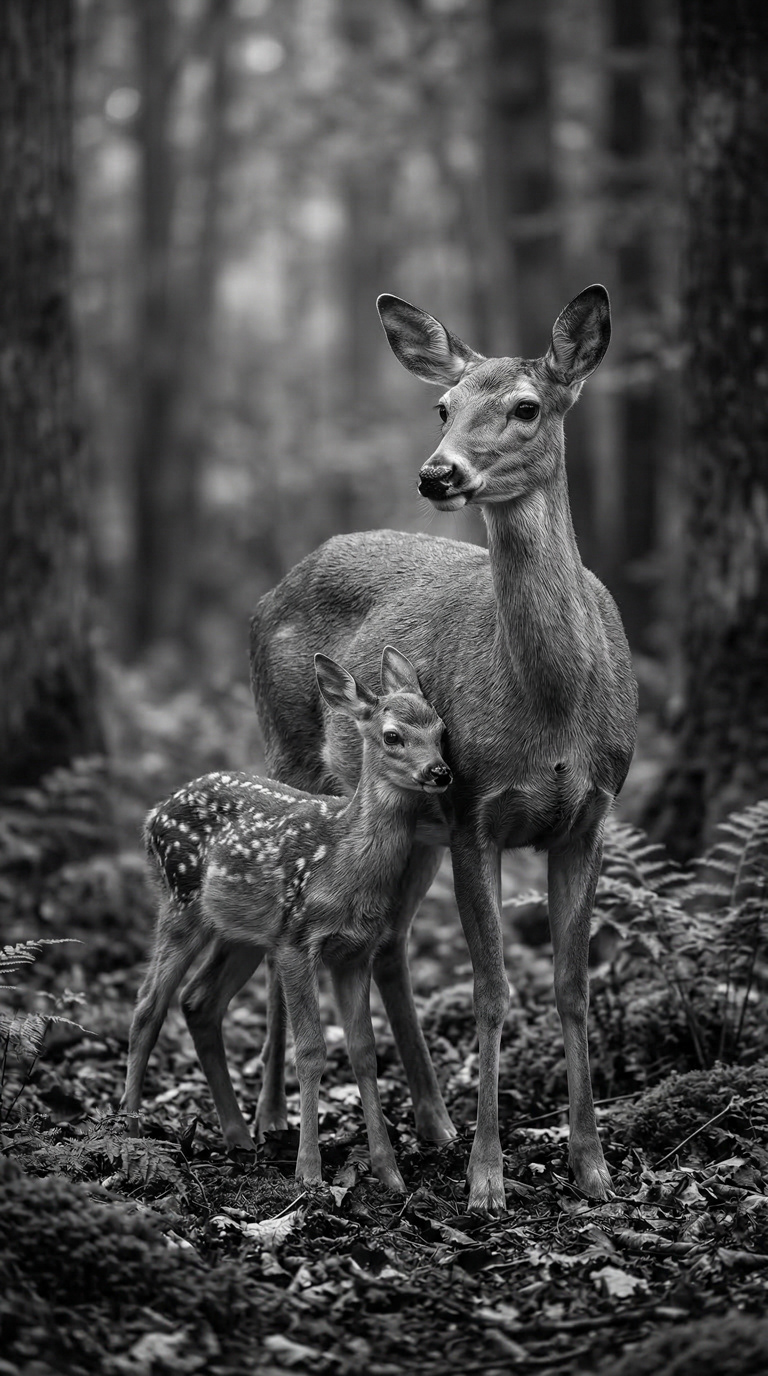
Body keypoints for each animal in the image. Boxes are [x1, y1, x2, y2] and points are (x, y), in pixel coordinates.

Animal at [121, 647, 453, 1191]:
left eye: (442, 729)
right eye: (392, 736)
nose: (440, 772)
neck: (343, 859)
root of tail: (152, 816)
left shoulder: (354, 951)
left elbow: (364, 1050)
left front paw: (389, 1173)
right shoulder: (298, 940)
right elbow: (312, 1050)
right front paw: (309, 1173)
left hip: (242, 933)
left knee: (198, 1002)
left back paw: (237, 1136)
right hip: (180, 901)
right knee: (149, 1004)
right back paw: (129, 1136)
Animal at [248, 284, 638, 1214]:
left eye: (528, 407)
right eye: (443, 405)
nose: (438, 473)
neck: (553, 709)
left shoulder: (592, 814)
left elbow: (570, 986)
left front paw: (592, 1166)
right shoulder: (474, 810)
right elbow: (493, 988)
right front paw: (489, 1179)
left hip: (407, 824)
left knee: (389, 945)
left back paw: (432, 1120)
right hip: (292, 755)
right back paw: (273, 1116)